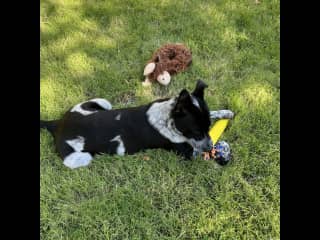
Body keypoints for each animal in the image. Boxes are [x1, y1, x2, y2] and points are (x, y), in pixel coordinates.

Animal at [41, 80, 234, 169]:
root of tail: (57, 124)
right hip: (80, 158)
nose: (209, 147)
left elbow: (214, 113)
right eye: (195, 131)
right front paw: (221, 154)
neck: (168, 117)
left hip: (102, 103)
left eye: (207, 127)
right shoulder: (187, 153)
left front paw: (226, 113)